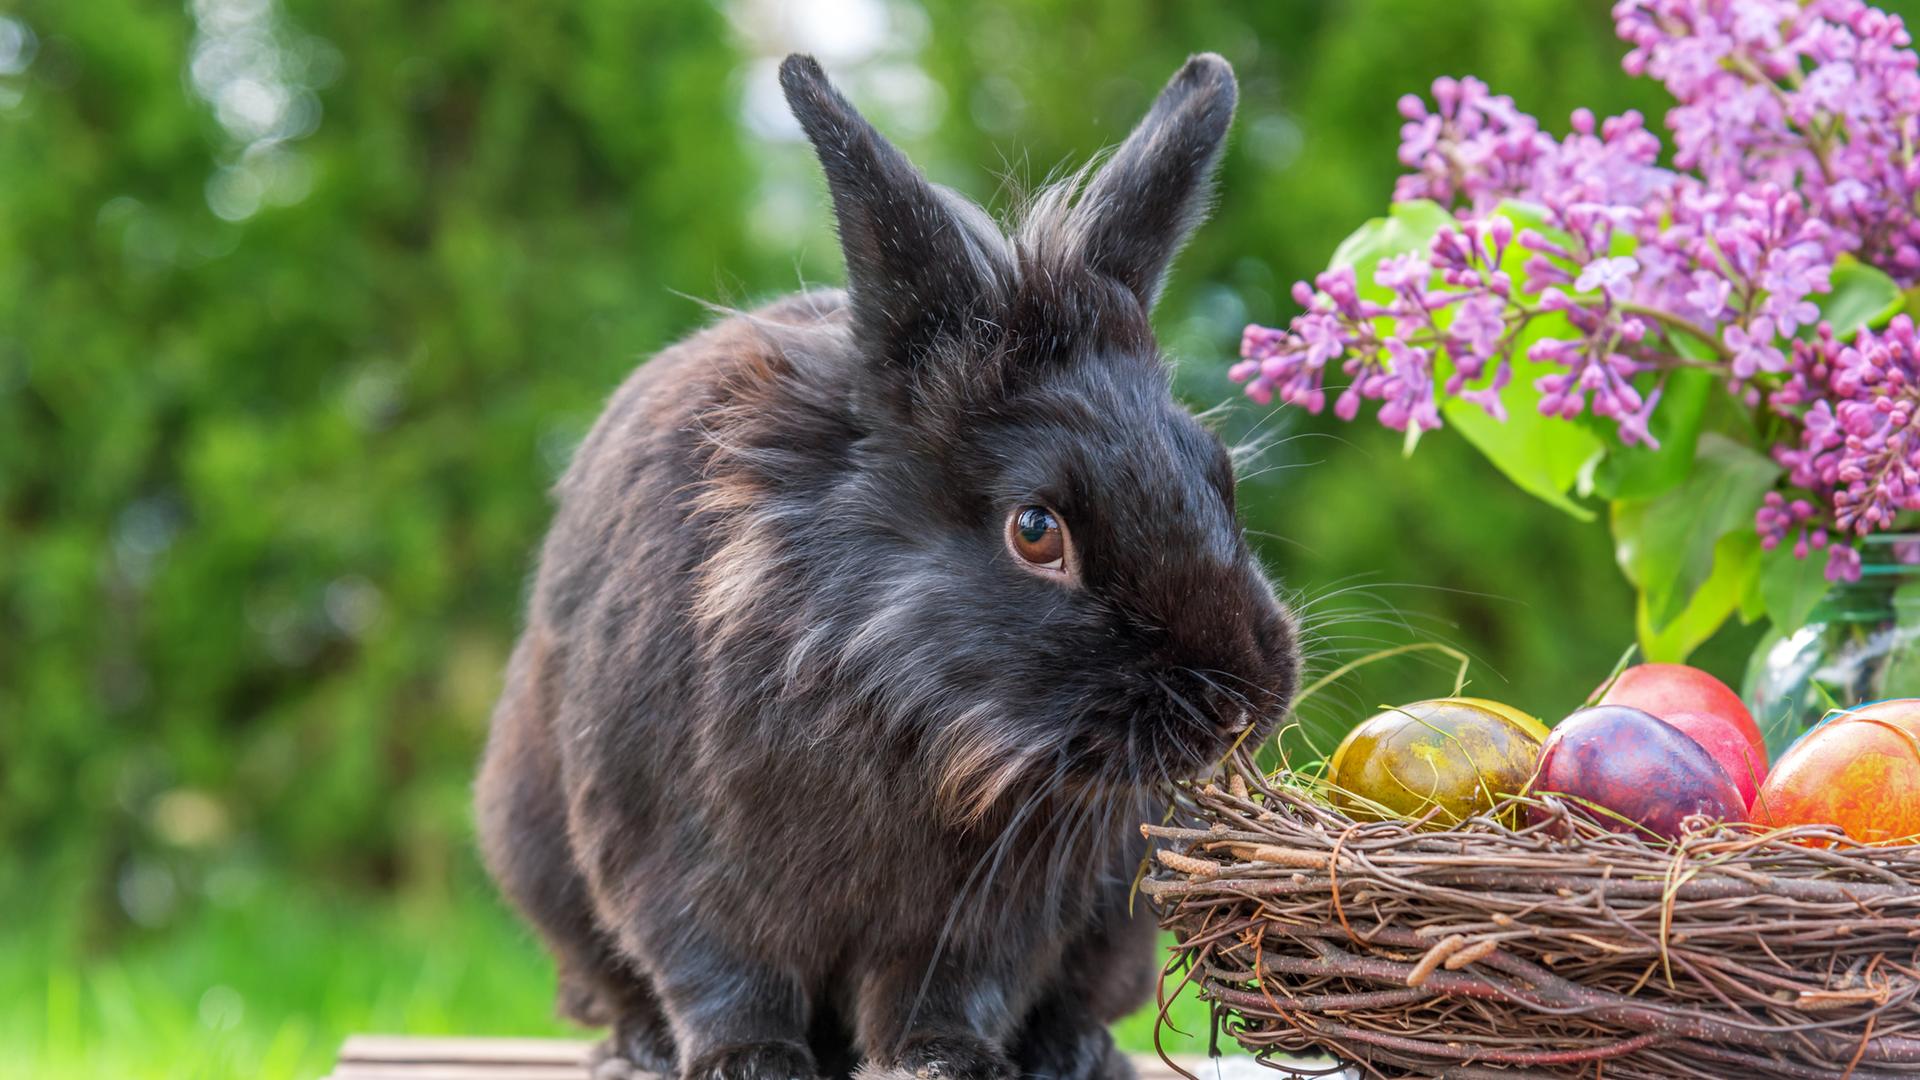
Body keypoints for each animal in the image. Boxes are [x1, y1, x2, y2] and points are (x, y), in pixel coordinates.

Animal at [474, 51, 1298, 1080]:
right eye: (1036, 530)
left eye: (1214, 470)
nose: (1244, 703)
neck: (910, 716)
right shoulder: (670, 855)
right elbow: (718, 972)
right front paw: (747, 1062)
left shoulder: (994, 905)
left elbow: (951, 986)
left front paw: (944, 1059)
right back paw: (636, 1049)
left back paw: (1074, 1052)